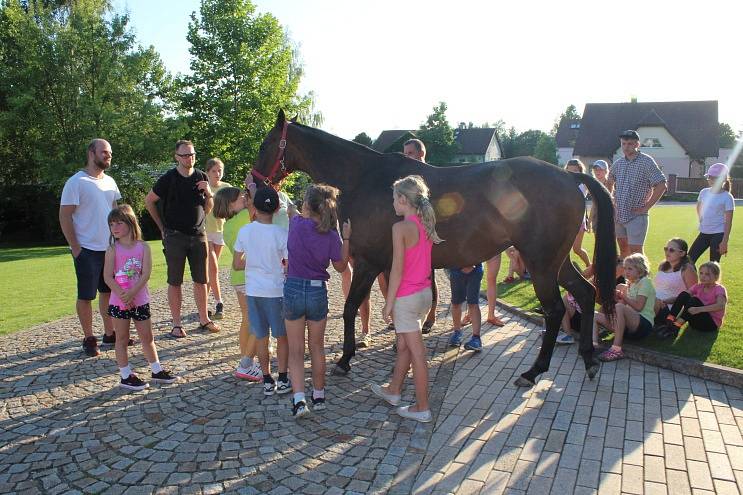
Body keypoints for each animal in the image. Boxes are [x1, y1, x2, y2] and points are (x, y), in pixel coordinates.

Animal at [254, 111, 616, 388]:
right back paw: (588, 359)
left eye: (265, 144)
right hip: (556, 262)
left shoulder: (369, 262)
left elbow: (351, 307)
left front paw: (345, 358)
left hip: (540, 264)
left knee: (555, 311)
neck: (365, 178)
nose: (256, 186)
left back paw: (534, 371)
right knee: (586, 292)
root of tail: (570, 179)